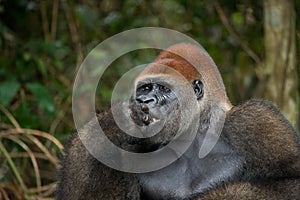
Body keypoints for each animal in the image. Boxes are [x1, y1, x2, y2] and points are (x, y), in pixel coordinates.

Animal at [56, 43, 300, 199]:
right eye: (145, 88)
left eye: (163, 89)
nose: (144, 100)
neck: (195, 130)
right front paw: (118, 121)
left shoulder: (256, 120)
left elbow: (291, 180)